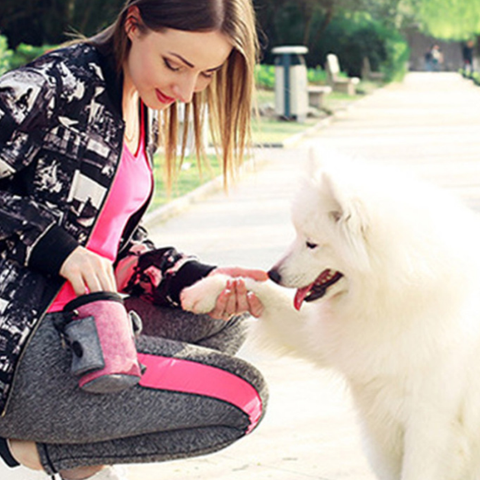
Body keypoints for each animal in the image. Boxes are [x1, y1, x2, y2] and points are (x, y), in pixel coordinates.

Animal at [181, 156, 480, 480]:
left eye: (311, 243)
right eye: (297, 234)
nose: (273, 273)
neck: (394, 292)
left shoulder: (429, 426)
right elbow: (251, 283)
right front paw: (204, 290)